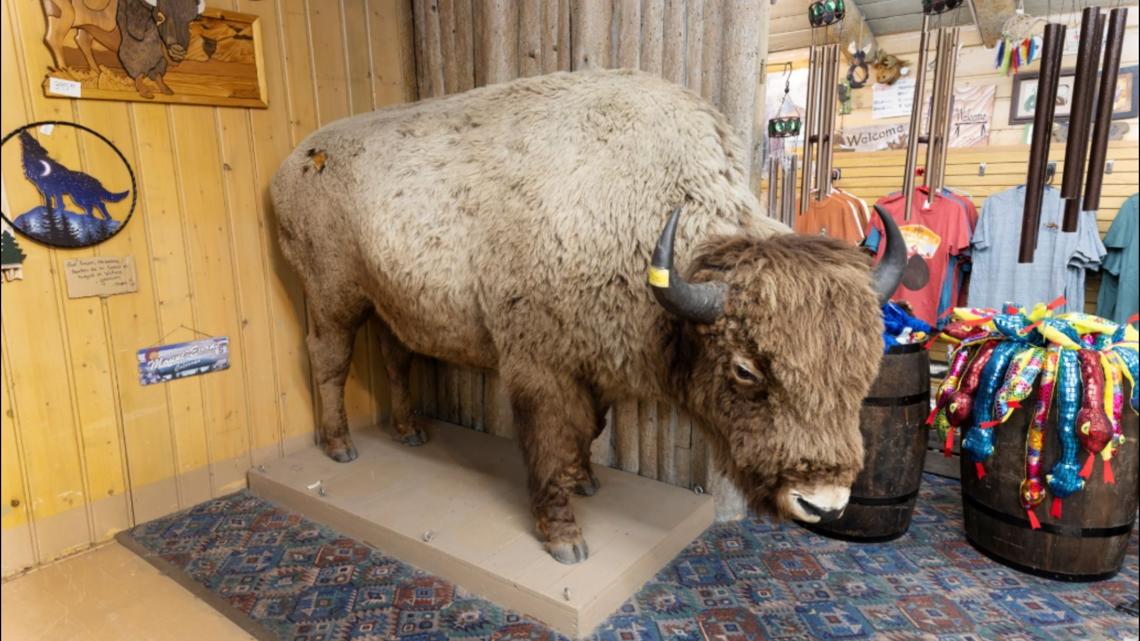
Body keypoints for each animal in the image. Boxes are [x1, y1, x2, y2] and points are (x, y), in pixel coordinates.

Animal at [271, 69, 904, 564]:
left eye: (866, 369)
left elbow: (588, 430)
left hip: (392, 303)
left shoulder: (594, 361)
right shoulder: (539, 370)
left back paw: (410, 431)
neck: (643, 211)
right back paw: (340, 446)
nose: (822, 503)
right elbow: (550, 443)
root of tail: (292, 163)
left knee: (396, 358)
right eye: (746, 370)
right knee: (328, 357)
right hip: (333, 296)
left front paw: (588, 481)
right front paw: (565, 540)